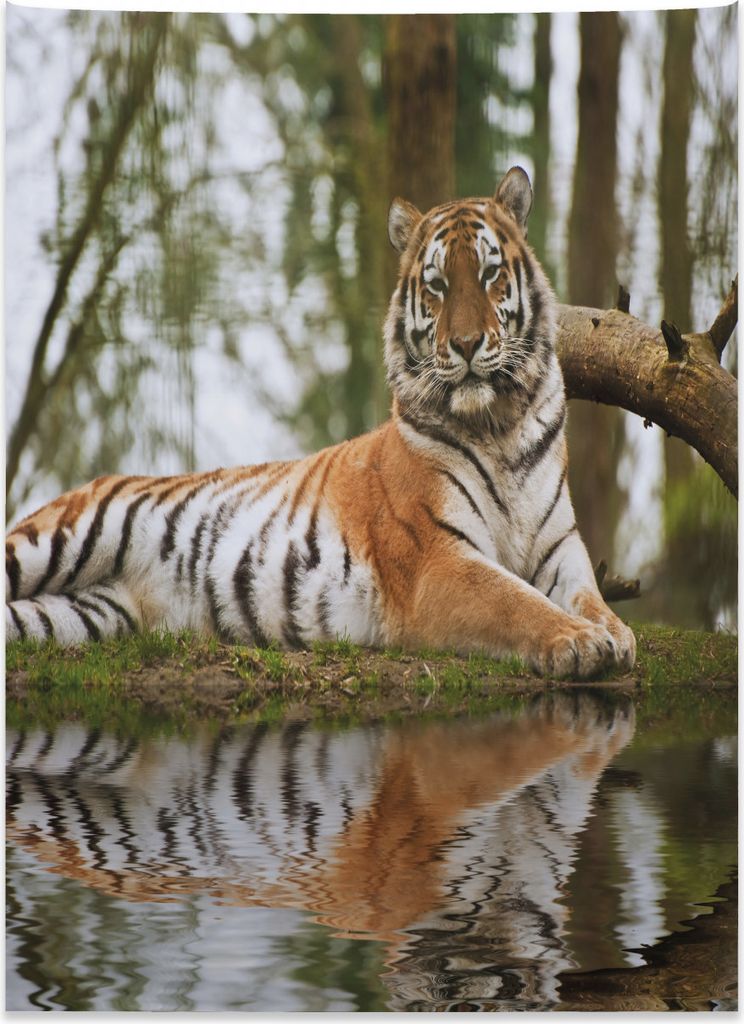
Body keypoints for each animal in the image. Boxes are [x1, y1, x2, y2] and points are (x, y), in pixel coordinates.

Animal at [5, 166, 635, 678]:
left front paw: (614, 633)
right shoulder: (439, 559)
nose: (465, 343)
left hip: (82, 615)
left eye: (488, 273)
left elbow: (588, 597)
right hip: (60, 539)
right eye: (436, 284)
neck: (499, 423)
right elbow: (517, 602)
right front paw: (580, 642)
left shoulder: (560, 549)